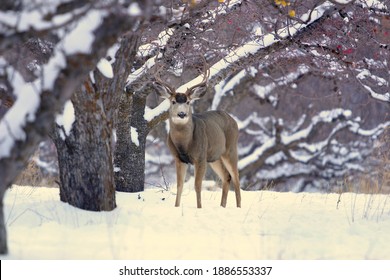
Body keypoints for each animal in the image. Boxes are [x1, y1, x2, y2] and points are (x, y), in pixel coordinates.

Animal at [153, 60, 241, 208]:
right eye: (173, 101)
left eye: (188, 102)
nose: (182, 114)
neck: (185, 144)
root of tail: (233, 119)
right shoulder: (178, 158)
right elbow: (180, 186)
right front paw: (176, 207)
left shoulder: (200, 157)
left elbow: (197, 185)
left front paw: (199, 208)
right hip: (214, 157)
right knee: (226, 176)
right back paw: (222, 206)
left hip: (230, 149)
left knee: (236, 177)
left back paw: (238, 207)